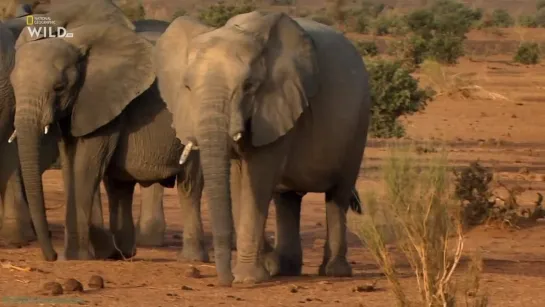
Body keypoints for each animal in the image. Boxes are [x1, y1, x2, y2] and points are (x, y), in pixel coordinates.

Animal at [12, 0, 208, 264]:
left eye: (59, 87)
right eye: (12, 85)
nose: (50, 256)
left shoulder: (106, 105)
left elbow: (85, 167)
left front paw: (75, 258)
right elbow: (70, 165)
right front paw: (83, 255)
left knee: (189, 186)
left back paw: (191, 259)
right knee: (119, 188)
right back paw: (122, 253)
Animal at [154, 12, 370, 286]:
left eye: (248, 86)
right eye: (187, 87)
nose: (225, 281)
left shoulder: (276, 106)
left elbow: (257, 177)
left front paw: (246, 279)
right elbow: (239, 181)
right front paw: (259, 271)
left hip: (359, 123)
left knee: (337, 195)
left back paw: (334, 271)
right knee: (287, 200)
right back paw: (285, 269)